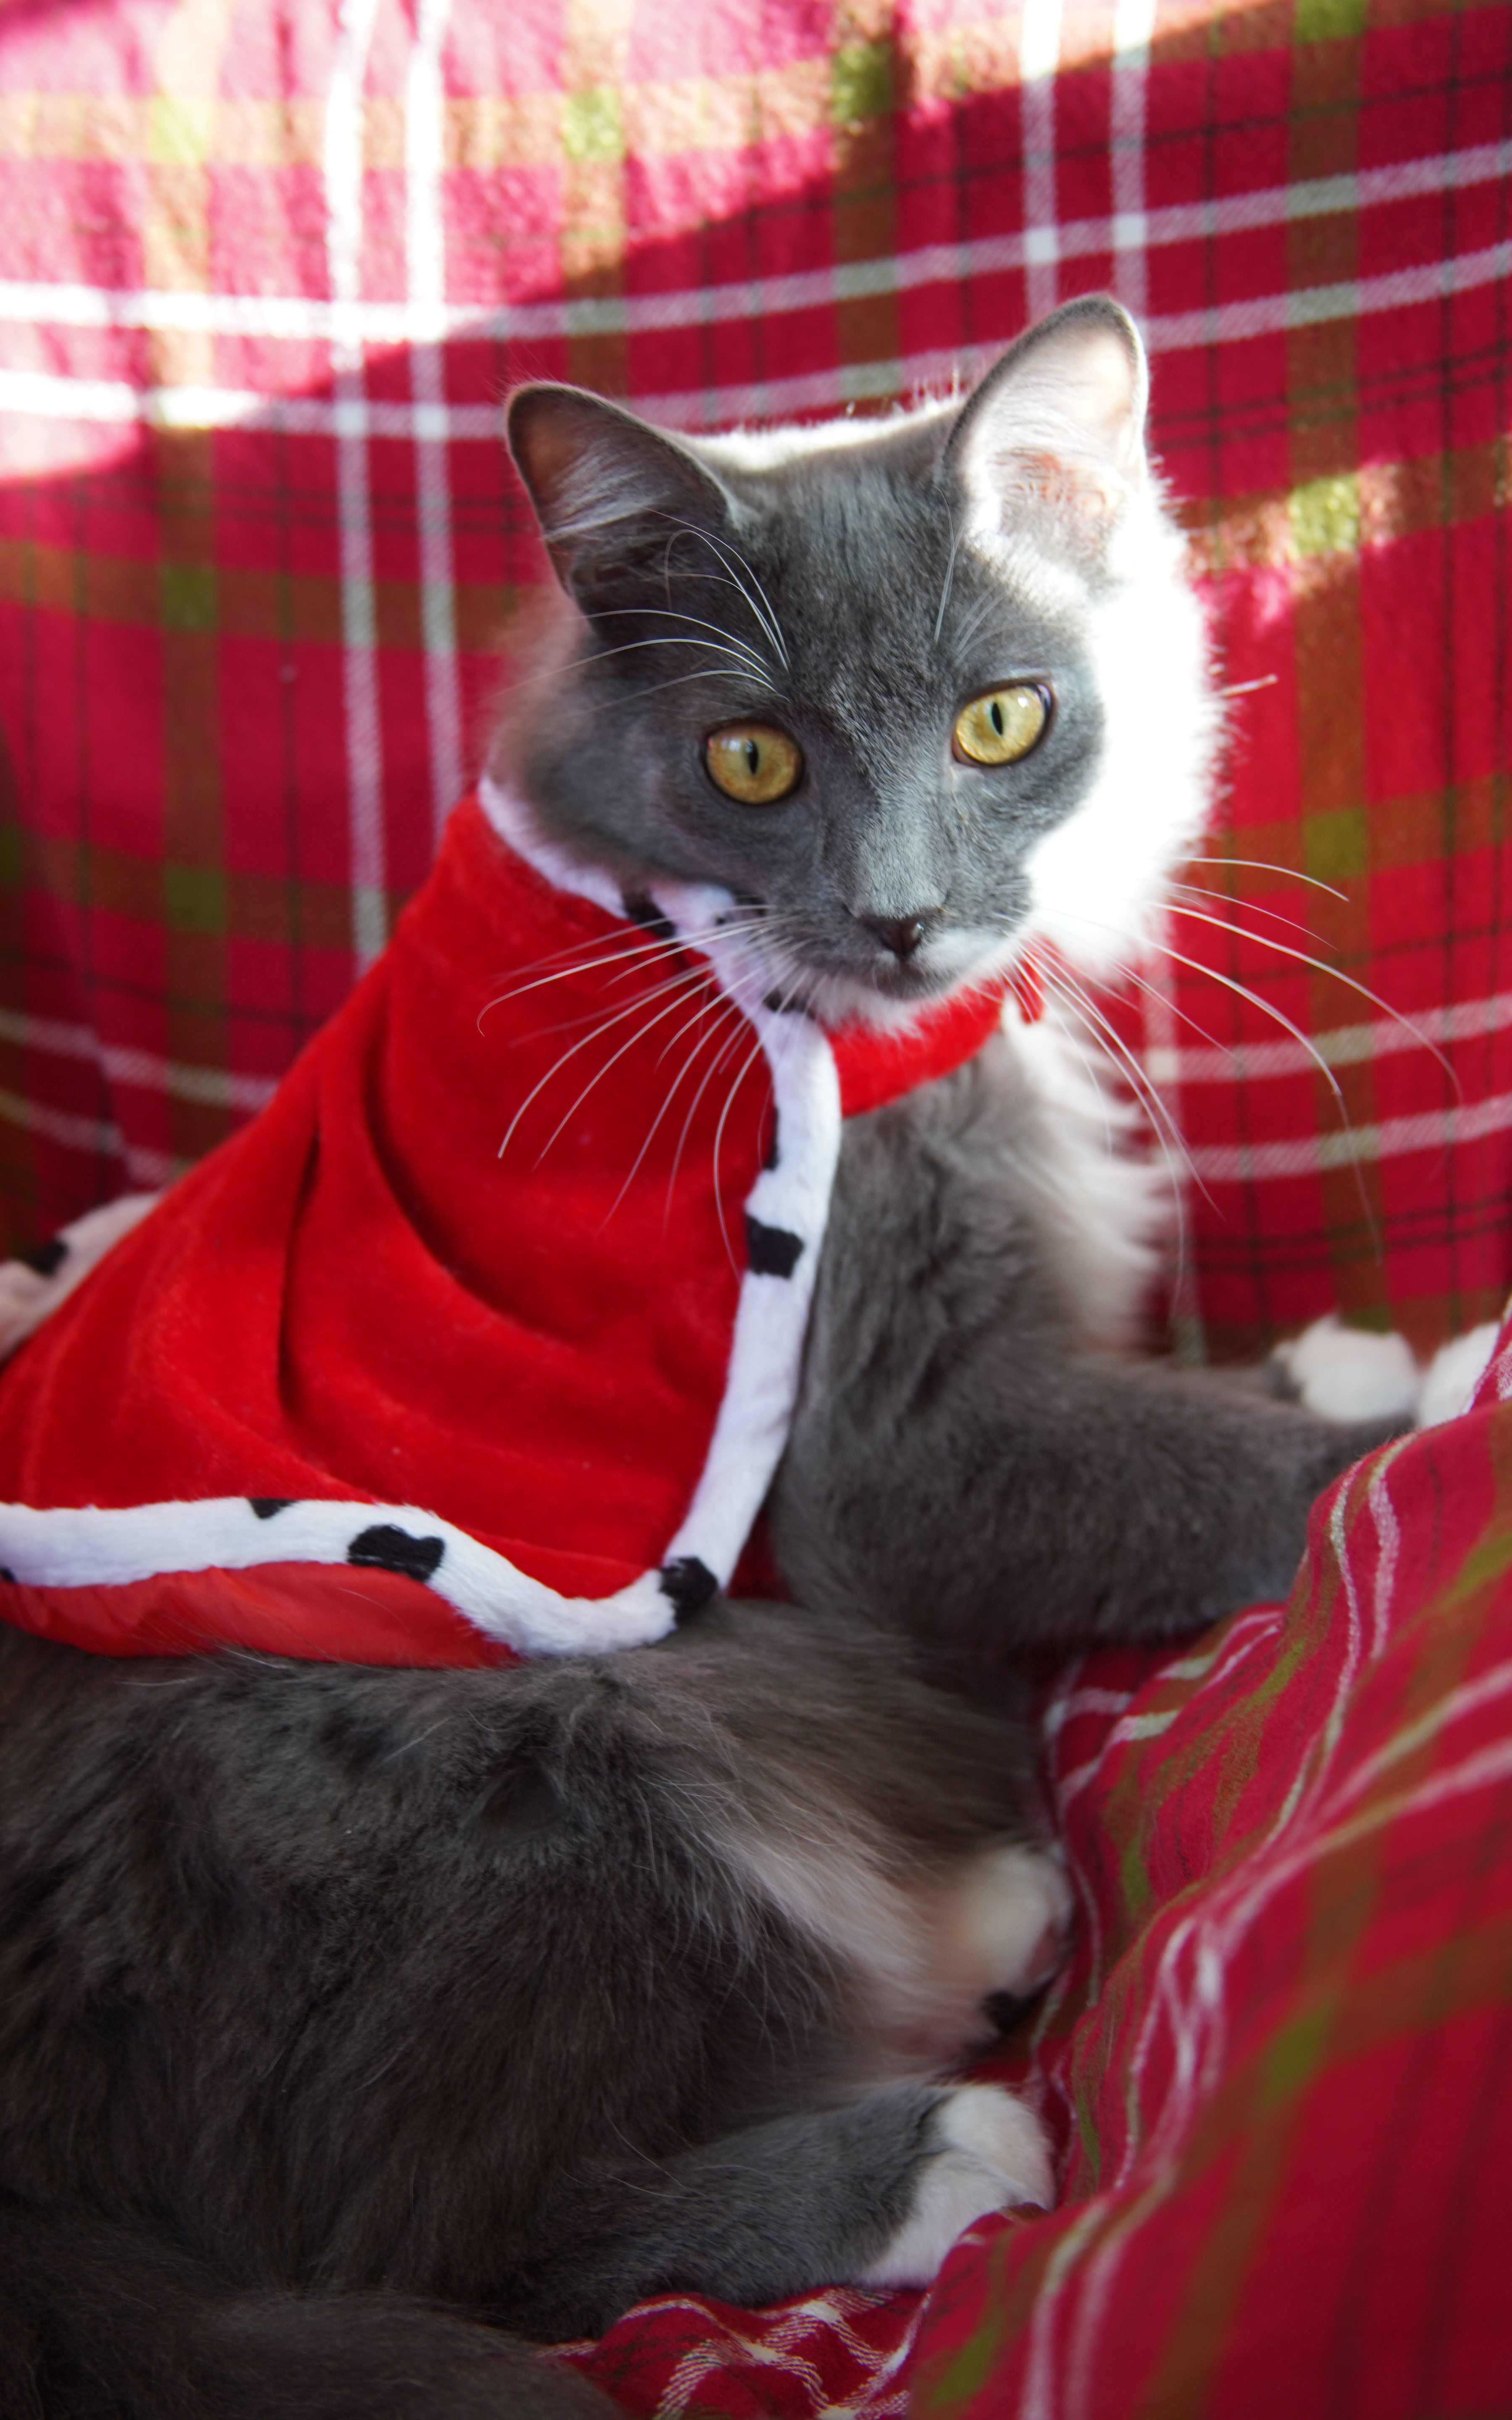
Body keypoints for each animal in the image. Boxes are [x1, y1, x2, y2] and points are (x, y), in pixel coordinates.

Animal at [0, 292, 1383, 2410]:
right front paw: (1434, 1391)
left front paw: (1340, 1364)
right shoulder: (904, 1443)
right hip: (573, 1752)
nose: (898, 918)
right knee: (446, 2231)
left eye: (1000, 719)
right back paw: (928, 2135)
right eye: (751, 757)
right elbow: (1183, 1466)